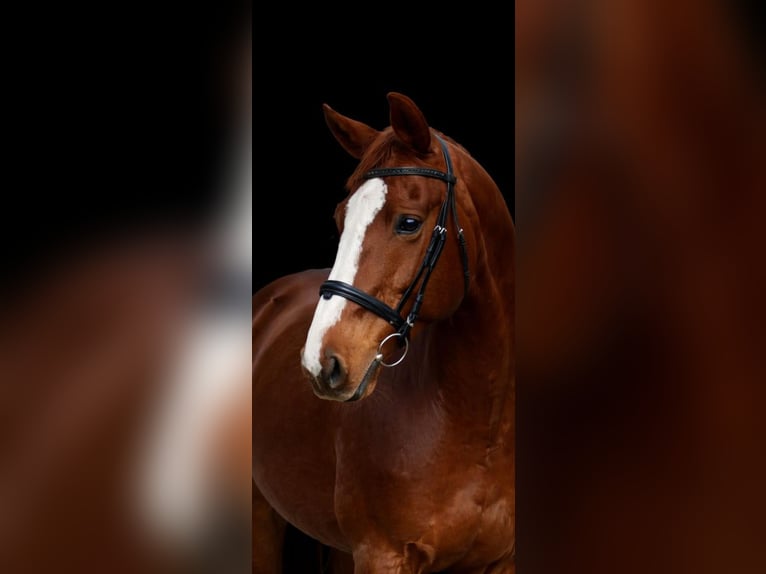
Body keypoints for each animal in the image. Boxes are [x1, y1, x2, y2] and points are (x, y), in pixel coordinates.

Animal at [252, 92, 515, 573]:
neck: (478, 422)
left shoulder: (501, 560)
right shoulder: (381, 555)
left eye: (408, 223)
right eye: (340, 218)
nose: (321, 362)